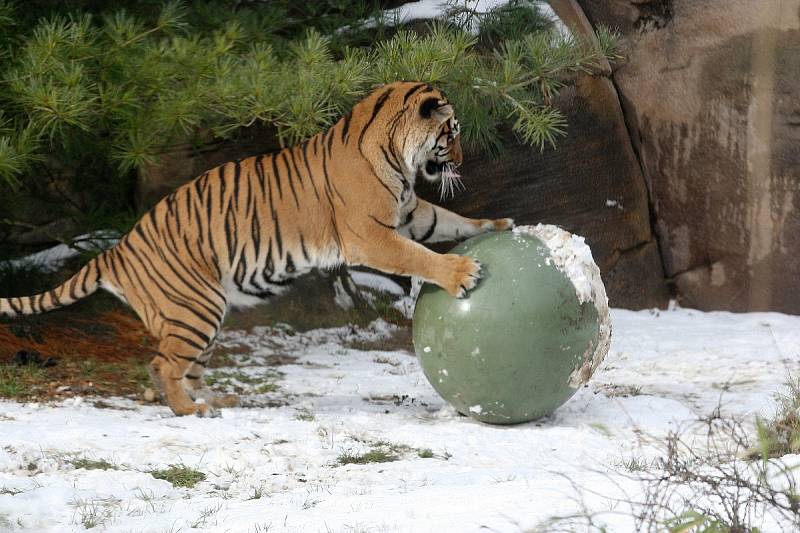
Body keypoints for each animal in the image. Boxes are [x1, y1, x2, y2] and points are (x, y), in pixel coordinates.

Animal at [0, 82, 512, 416]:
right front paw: (461, 273)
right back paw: (191, 411)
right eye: (452, 133)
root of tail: (115, 251)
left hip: (201, 317)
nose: (462, 160)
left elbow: (448, 220)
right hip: (196, 308)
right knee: (163, 364)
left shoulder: (409, 214)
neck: (397, 159)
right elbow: (418, 255)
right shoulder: (371, 236)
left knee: (183, 367)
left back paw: (214, 400)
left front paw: (498, 223)